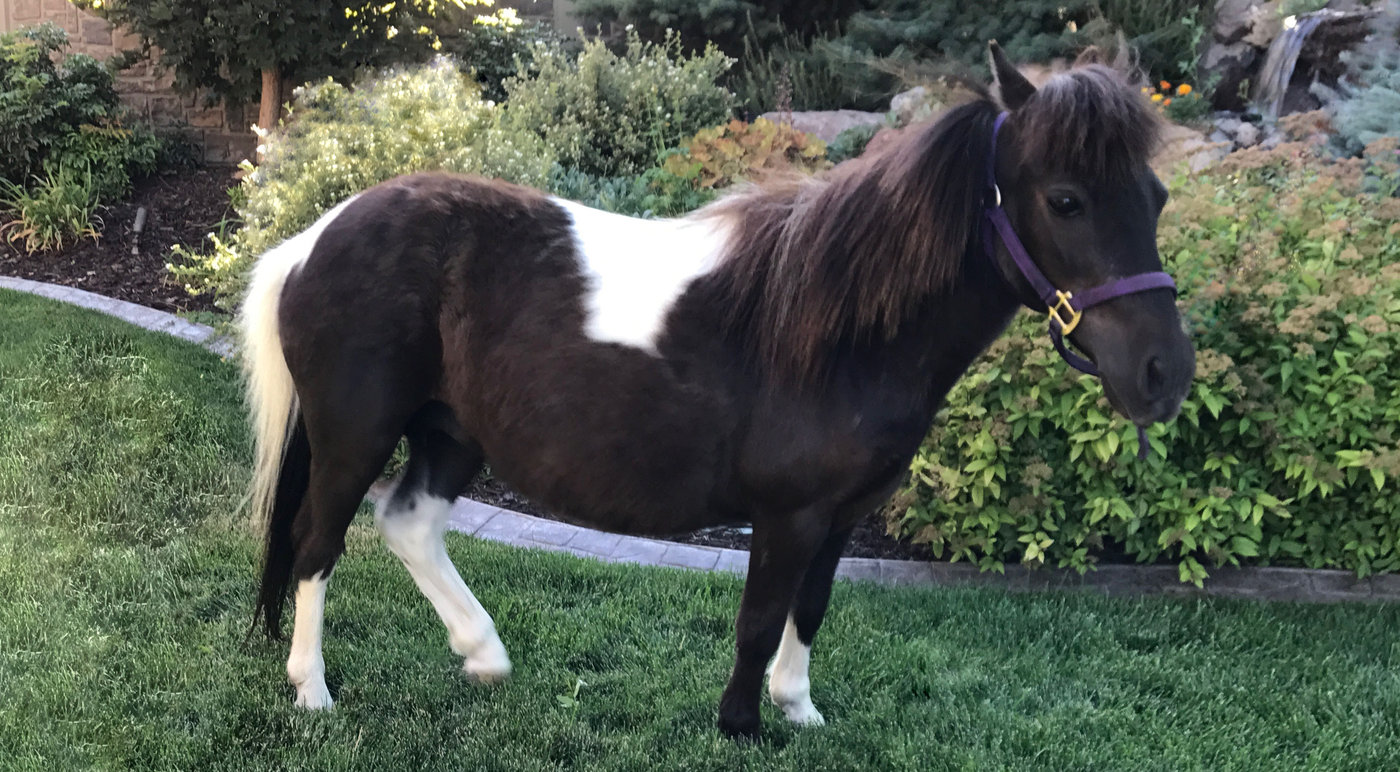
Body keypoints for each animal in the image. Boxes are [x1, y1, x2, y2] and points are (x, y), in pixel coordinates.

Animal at [241, 43, 1194, 739]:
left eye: (1156, 195)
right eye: (1066, 200)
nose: (1165, 373)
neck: (839, 332)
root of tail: (315, 237)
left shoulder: (840, 517)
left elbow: (811, 607)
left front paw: (799, 710)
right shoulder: (788, 515)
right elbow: (760, 617)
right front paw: (741, 725)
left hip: (450, 432)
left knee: (408, 524)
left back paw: (483, 656)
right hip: (356, 435)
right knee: (317, 540)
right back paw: (312, 691)